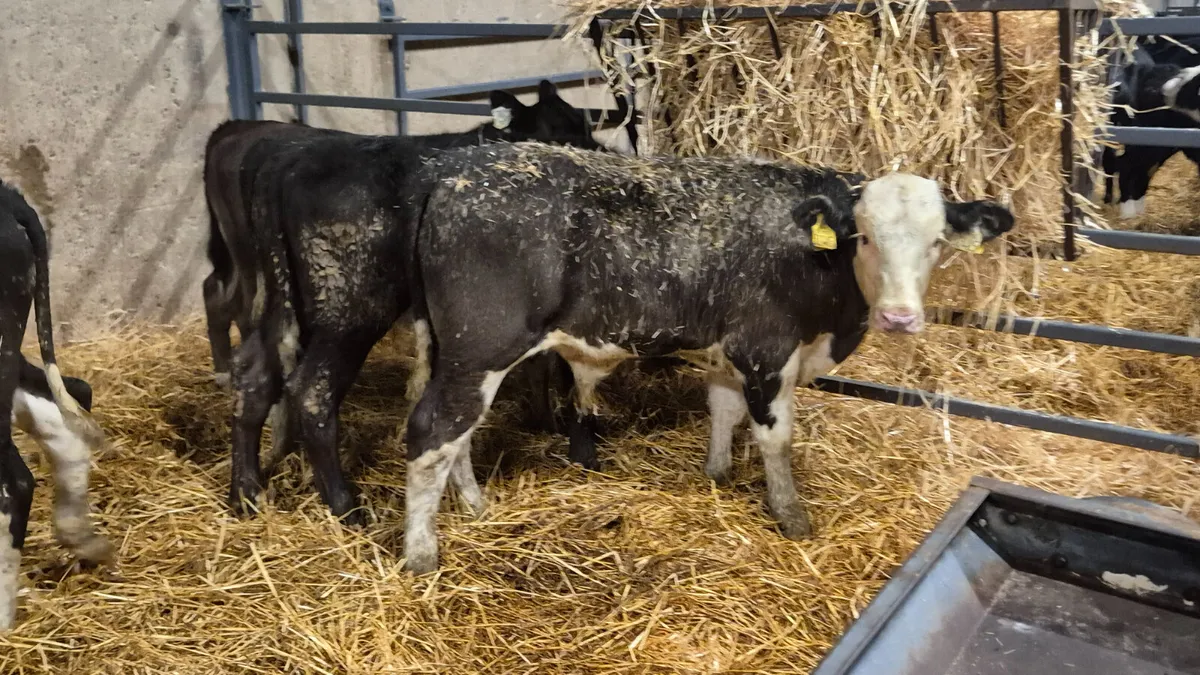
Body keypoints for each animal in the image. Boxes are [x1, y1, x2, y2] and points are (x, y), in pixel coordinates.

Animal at [224, 81, 603, 524]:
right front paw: (584, 450)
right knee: (312, 393)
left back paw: (246, 494)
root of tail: (287, 165)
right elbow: (571, 373)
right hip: (350, 310)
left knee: (253, 378)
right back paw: (346, 507)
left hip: (279, 302)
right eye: (565, 132)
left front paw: (548, 424)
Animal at [399, 143, 1014, 574]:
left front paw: (717, 474)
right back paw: (422, 554)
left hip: (457, 353)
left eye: (936, 242)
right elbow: (774, 437)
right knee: (434, 431)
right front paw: (790, 515)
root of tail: (453, 173)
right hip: (481, 347)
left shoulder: (728, 355)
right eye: (862, 237)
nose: (900, 317)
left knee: (459, 434)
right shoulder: (765, 351)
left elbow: (723, 411)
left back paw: (475, 506)